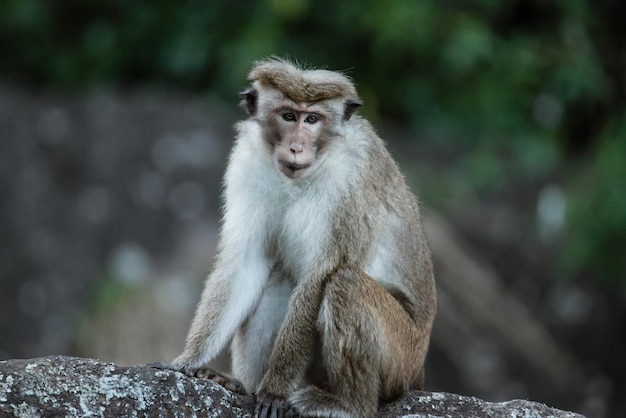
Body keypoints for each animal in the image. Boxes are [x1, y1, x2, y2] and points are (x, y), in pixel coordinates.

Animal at [158, 56, 436, 418]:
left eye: (312, 119)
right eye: (289, 116)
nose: (296, 146)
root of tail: (418, 371)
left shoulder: (352, 180)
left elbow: (321, 275)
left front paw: (275, 390)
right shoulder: (247, 162)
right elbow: (245, 261)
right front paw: (189, 360)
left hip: (401, 359)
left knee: (345, 283)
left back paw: (348, 404)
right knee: (277, 279)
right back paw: (242, 385)